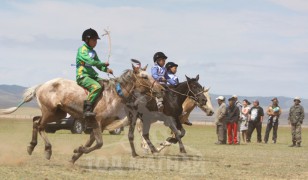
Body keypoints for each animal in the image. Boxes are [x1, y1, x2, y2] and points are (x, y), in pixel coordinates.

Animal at [0, 60, 165, 163]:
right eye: (144, 76)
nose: (161, 89)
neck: (113, 95)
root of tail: (42, 85)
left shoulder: (99, 125)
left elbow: (92, 142)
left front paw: (75, 156)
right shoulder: (97, 122)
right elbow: (99, 144)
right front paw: (77, 150)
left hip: (57, 113)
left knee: (35, 121)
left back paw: (31, 146)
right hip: (50, 111)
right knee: (40, 125)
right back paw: (47, 150)